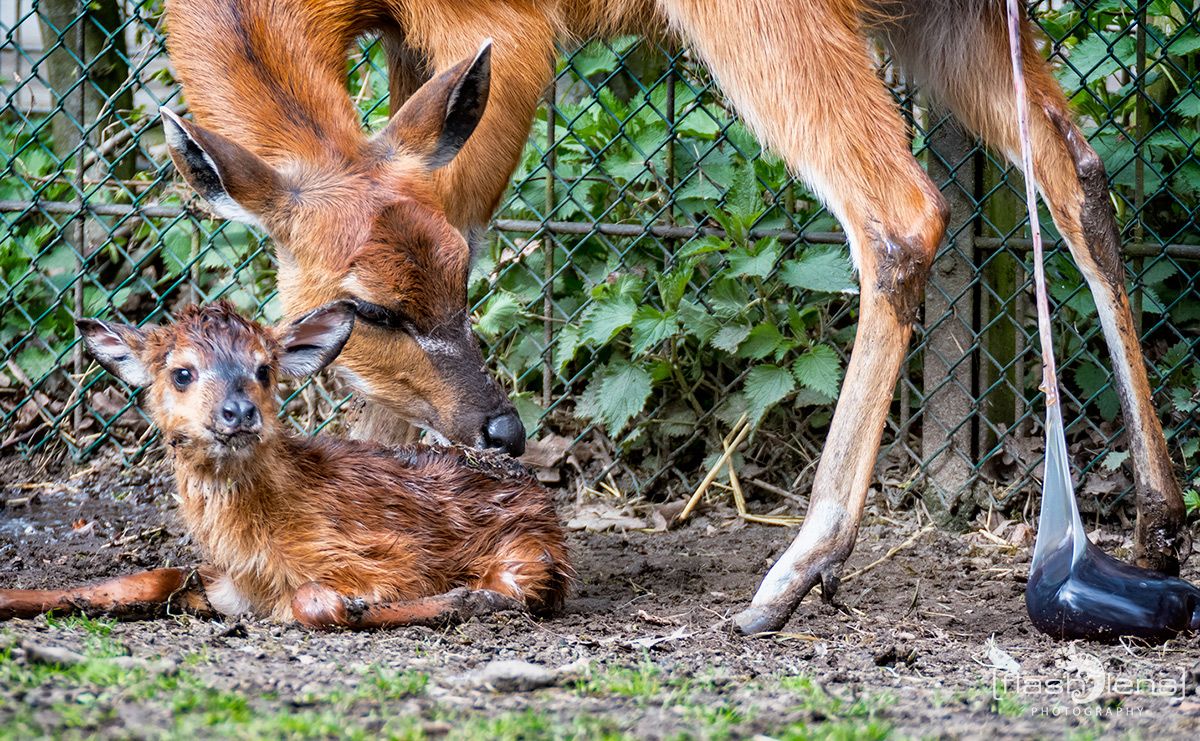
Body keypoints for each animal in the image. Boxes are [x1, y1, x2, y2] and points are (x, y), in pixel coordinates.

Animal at [0, 303, 568, 628]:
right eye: (182, 373)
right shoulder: (226, 584)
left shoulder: (389, 555)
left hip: (528, 553)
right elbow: (141, 579)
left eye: (263, 370)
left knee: (515, 592)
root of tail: (545, 503)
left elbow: (312, 601)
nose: (238, 411)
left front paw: (360, 606)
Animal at [159, 1, 1190, 633]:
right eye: (371, 302)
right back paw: (1154, 527)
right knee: (1080, 173)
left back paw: (792, 574)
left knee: (900, 212)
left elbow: (464, 199)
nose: (503, 428)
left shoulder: (503, 31)